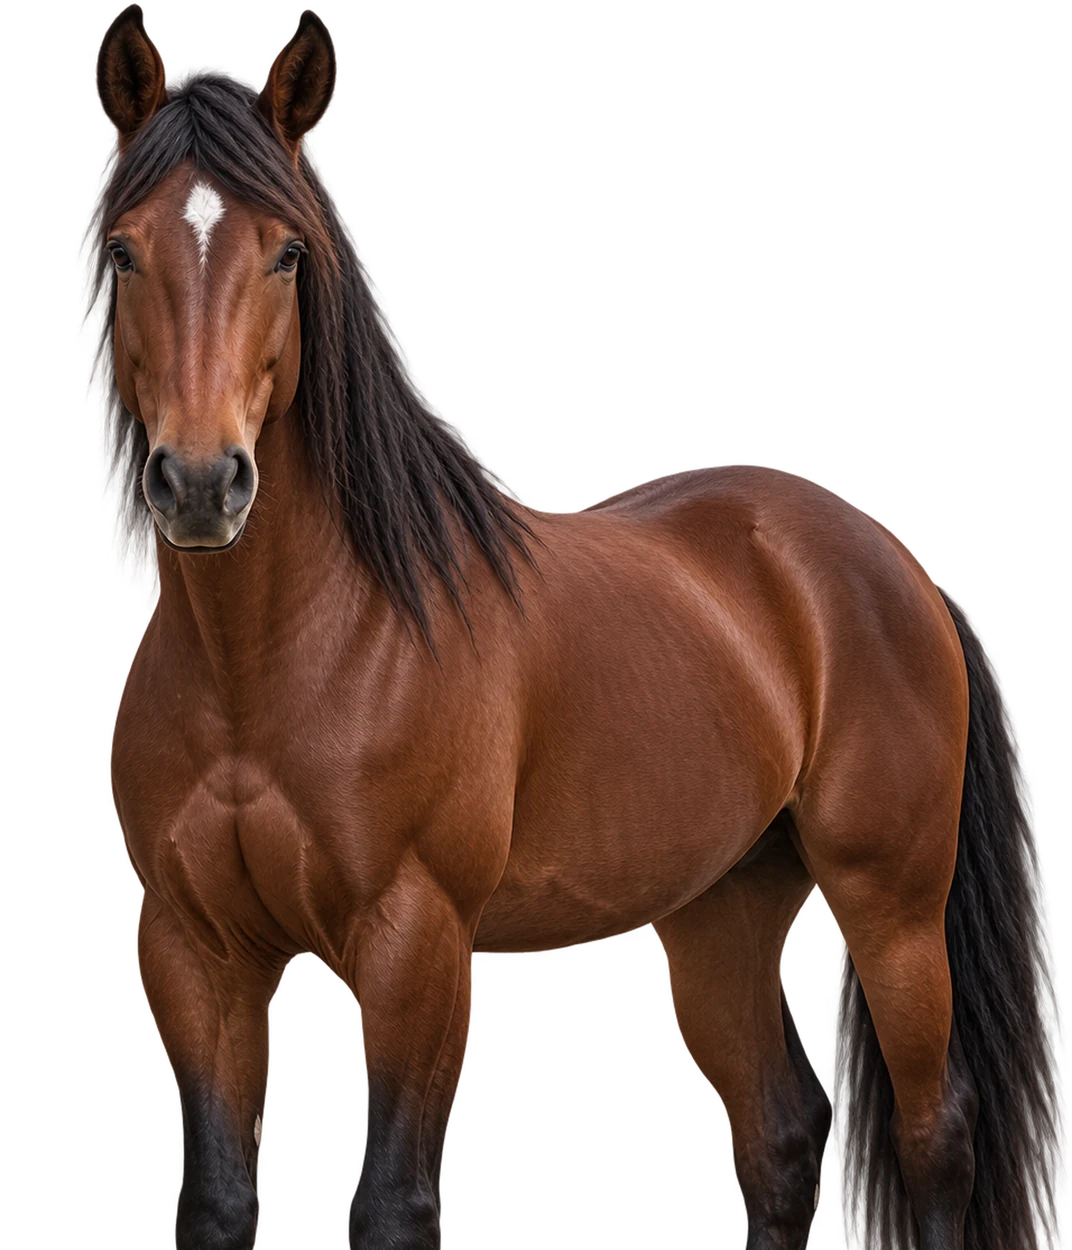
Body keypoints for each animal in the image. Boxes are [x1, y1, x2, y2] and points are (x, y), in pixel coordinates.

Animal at [85, 8, 1064, 1248]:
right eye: (126, 251)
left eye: (287, 253)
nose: (204, 482)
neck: (270, 661)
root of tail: (891, 560)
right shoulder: (195, 952)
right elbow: (216, 1198)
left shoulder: (414, 939)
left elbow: (393, 1201)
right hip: (720, 912)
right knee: (779, 1140)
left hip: (892, 907)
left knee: (934, 1138)